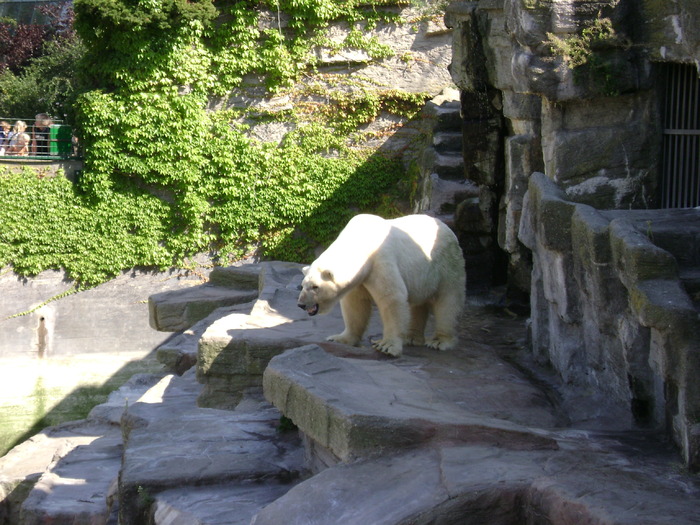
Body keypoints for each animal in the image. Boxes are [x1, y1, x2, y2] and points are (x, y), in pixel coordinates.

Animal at [296, 213, 464, 356]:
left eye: (315, 287)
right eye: (303, 285)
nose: (301, 304)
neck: (360, 245)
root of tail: (447, 228)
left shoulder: (380, 261)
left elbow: (392, 298)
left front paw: (386, 346)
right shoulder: (359, 279)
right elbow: (355, 305)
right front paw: (339, 338)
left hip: (447, 265)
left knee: (447, 301)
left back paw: (439, 341)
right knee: (417, 303)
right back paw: (411, 337)